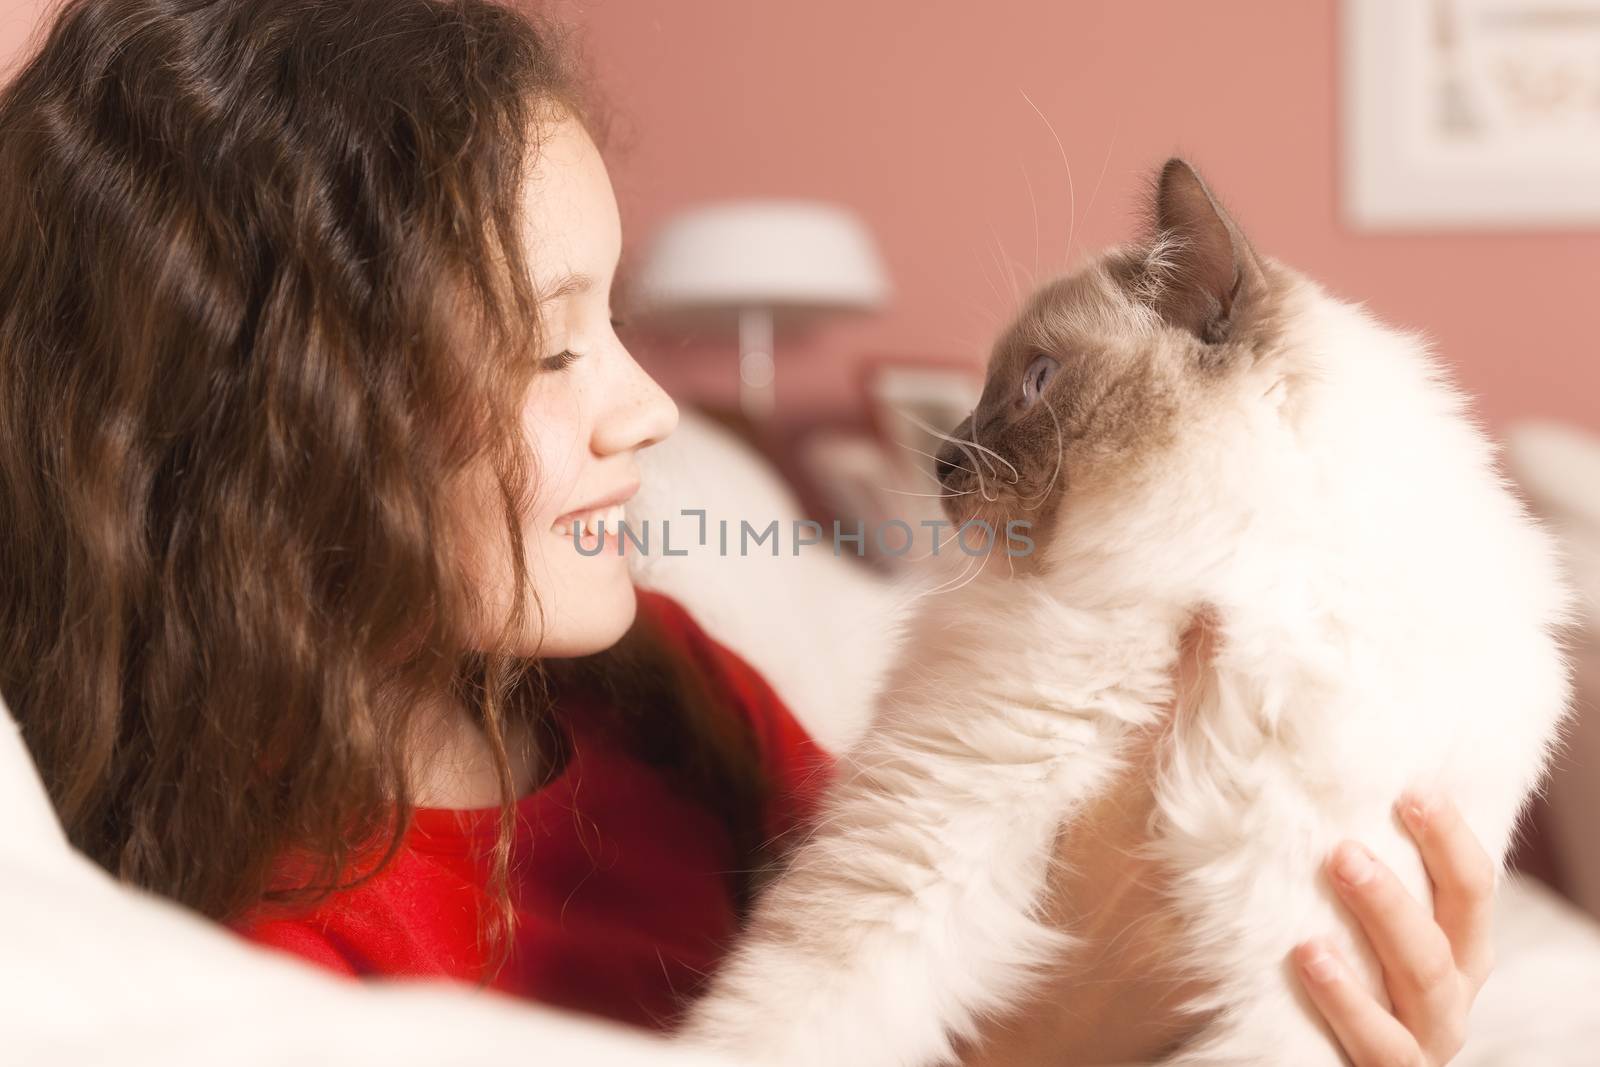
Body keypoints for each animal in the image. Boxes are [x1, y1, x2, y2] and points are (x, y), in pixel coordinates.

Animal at [678, 158, 1574, 1067]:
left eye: (1037, 381)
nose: (941, 461)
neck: (1225, 576)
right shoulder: (930, 827)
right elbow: (786, 1014)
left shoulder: (1299, 976)